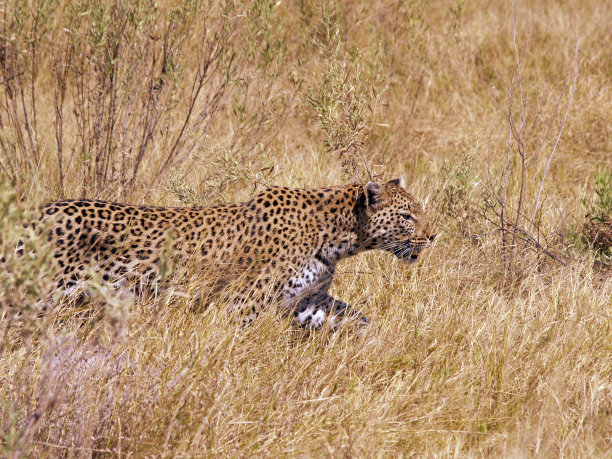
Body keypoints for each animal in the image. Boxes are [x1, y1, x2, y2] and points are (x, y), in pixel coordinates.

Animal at [35, 177, 436, 330]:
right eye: (407, 216)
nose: (433, 236)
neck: (339, 238)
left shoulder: (307, 299)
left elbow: (355, 316)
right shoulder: (242, 304)